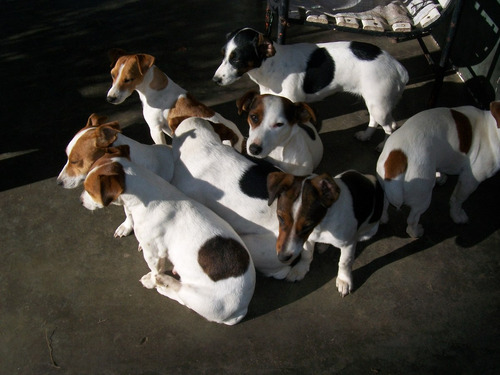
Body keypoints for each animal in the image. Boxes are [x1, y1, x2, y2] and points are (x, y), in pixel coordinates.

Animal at [81, 148, 256, 324]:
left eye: (89, 191)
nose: (80, 200)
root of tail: (242, 309)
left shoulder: (153, 254)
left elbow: (155, 270)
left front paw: (152, 280)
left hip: (196, 297)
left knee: (180, 296)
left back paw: (164, 283)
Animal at [107, 48, 244, 151]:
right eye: (112, 74)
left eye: (129, 79)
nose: (110, 98)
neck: (154, 89)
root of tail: (238, 137)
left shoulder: (155, 129)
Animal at [213, 27, 408, 148]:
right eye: (222, 55)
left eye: (236, 59)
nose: (215, 80)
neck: (271, 66)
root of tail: (398, 67)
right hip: (375, 103)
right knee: (375, 120)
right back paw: (366, 136)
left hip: (379, 105)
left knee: (391, 126)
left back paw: (383, 145)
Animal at [376, 102, 500, 238]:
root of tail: (398, 158)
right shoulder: (470, 180)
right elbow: (458, 200)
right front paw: (457, 216)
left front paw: (441, 176)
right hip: (423, 198)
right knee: (412, 221)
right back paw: (417, 232)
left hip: (385, 186)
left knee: (384, 204)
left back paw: (383, 218)